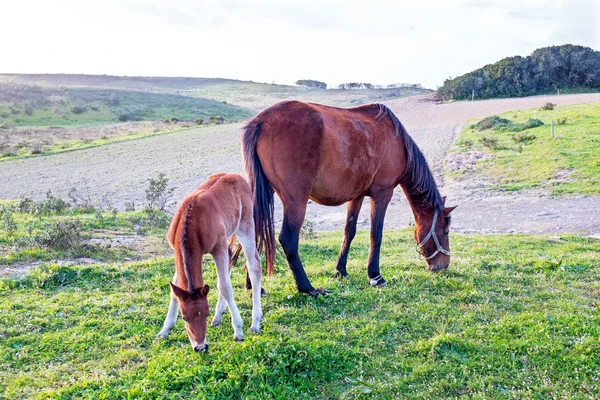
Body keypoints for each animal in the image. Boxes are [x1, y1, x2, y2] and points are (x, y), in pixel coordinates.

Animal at [157, 173, 262, 352]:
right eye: (184, 317)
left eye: (205, 313)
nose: (200, 347)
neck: (192, 221)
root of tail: (238, 177)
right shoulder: (177, 252)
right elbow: (174, 290)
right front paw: (164, 330)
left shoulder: (218, 247)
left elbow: (225, 287)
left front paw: (238, 331)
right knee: (231, 260)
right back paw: (218, 316)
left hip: (245, 225)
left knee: (254, 265)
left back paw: (255, 322)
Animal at [241, 99, 458, 294]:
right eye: (445, 231)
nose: (443, 265)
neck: (397, 141)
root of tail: (260, 121)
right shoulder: (382, 193)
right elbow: (376, 234)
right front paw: (375, 275)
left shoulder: (357, 196)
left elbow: (349, 231)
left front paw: (340, 270)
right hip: (296, 200)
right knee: (288, 238)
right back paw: (307, 288)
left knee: (253, 232)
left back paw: (255, 286)